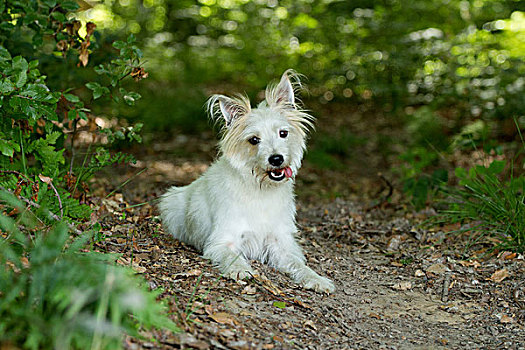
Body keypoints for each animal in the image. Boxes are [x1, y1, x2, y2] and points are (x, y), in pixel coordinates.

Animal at [158, 69, 334, 292]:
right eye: (254, 140)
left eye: (283, 133)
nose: (276, 159)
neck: (260, 190)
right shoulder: (221, 242)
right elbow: (232, 257)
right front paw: (240, 269)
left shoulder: (280, 244)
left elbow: (299, 264)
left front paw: (316, 278)